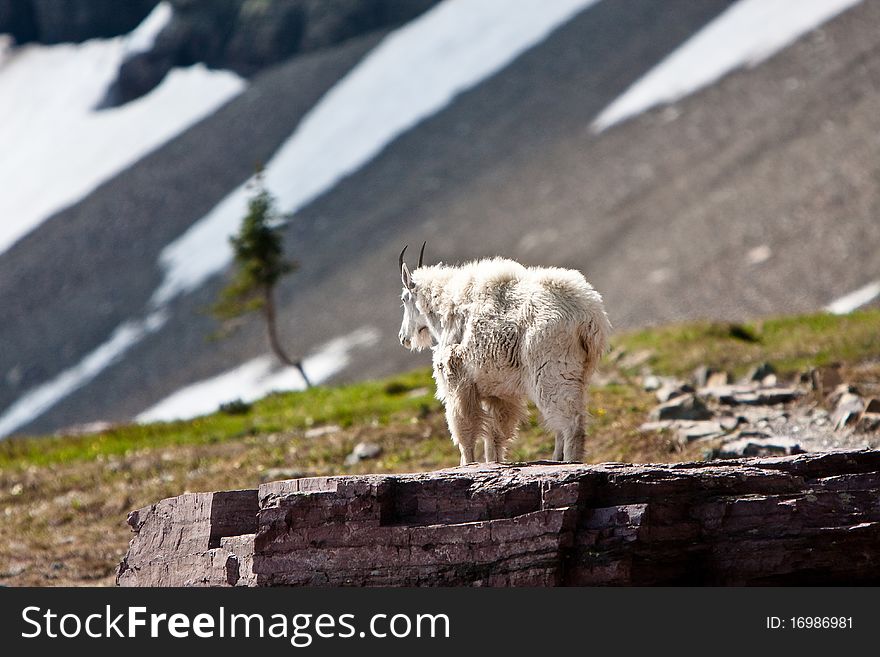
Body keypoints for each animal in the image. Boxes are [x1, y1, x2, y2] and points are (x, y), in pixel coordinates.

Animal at [398, 243, 612, 464]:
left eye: (404, 299)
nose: (403, 338)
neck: (445, 309)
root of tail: (588, 318)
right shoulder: (498, 394)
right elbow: (494, 436)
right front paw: (493, 461)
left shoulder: (457, 381)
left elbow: (464, 431)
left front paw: (467, 464)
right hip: (581, 375)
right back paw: (557, 458)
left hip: (552, 373)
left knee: (570, 423)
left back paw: (569, 460)